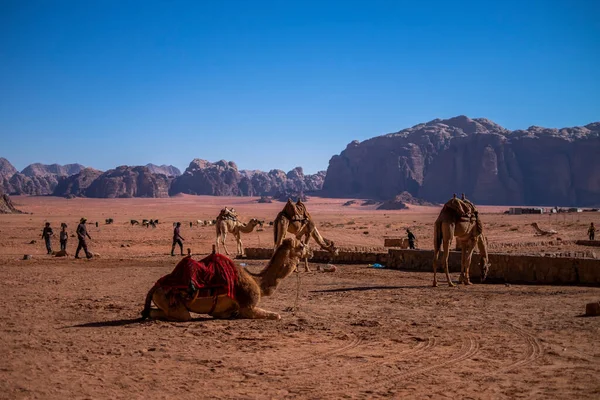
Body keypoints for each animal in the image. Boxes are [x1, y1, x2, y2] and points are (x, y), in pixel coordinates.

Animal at [140, 238, 310, 322]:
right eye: (301, 246)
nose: (310, 252)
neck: (257, 281)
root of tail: (155, 287)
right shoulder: (247, 306)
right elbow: (277, 315)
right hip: (171, 301)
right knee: (179, 315)